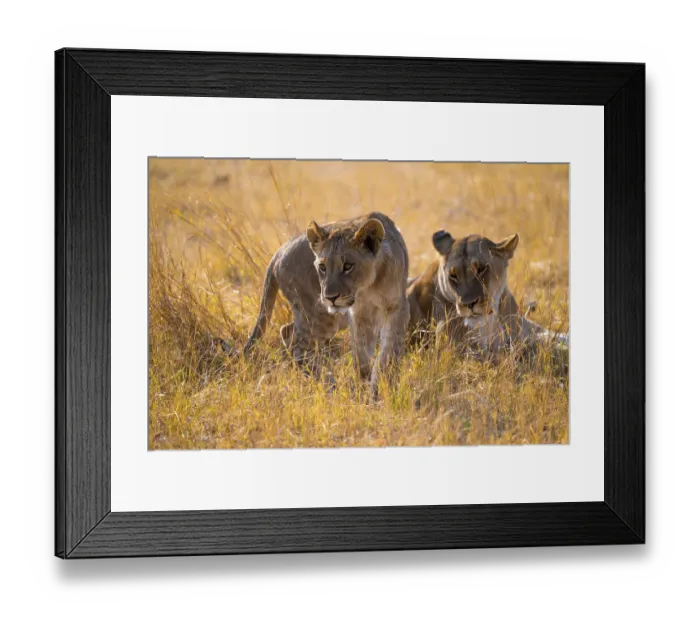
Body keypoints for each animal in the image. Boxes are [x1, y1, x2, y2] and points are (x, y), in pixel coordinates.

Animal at [244, 212, 410, 394]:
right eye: (322, 267)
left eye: (348, 266)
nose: (330, 297)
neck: (368, 286)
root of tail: (279, 252)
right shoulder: (358, 313)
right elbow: (361, 354)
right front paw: (367, 386)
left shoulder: (396, 307)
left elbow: (388, 353)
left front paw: (377, 385)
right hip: (320, 315)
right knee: (298, 348)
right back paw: (330, 386)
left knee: (287, 331)